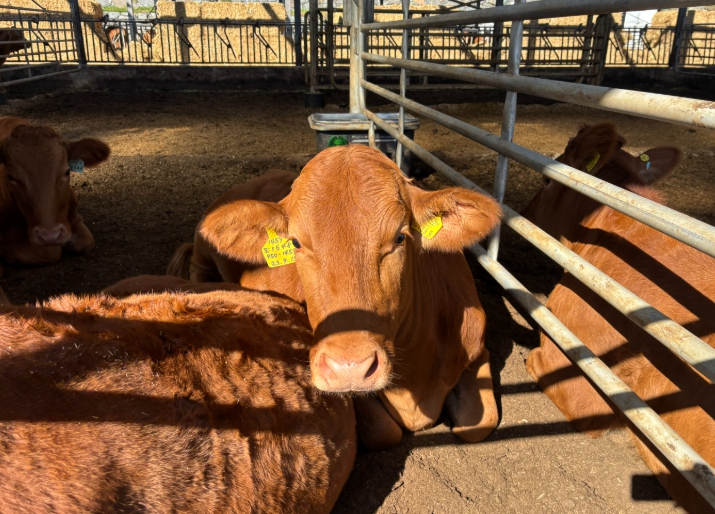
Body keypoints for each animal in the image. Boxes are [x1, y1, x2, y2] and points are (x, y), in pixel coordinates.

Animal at [191, 145, 503, 450]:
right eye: (296, 243)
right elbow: (384, 431)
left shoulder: (478, 349)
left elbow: (479, 425)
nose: (348, 369)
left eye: (400, 237)